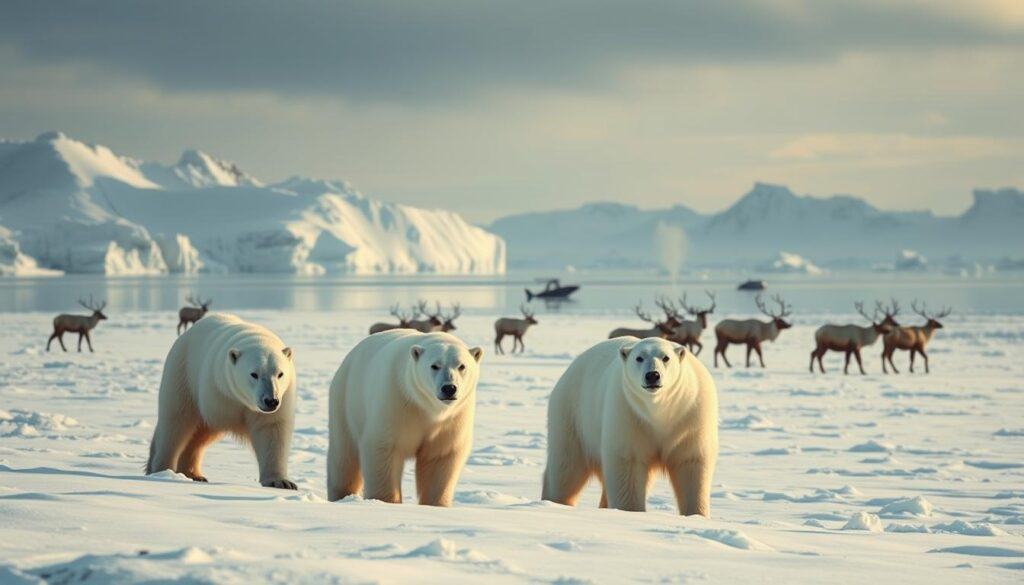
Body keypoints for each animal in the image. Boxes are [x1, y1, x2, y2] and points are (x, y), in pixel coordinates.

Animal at [145, 313, 298, 489]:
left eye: (280, 374)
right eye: (254, 374)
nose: (271, 400)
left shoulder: (282, 398)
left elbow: (271, 429)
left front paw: (281, 482)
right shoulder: (217, 393)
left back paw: (193, 474)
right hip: (182, 373)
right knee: (175, 423)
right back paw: (162, 471)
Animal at [327, 330, 483, 505]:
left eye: (461, 366)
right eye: (434, 365)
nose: (449, 388)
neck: (428, 408)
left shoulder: (453, 419)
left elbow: (440, 456)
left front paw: (435, 504)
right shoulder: (397, 403)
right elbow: (384, 448)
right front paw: (386, 501)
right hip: (346, 403)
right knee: (344, 457)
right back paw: (341, 496)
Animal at [541, 336, 719, 516]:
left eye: (666, 357)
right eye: (639, 358)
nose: (652, 375)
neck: (659, 411)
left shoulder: (689, 419)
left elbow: (690, 462)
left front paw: (696, 514)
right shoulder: (628, 414)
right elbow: (628, 464)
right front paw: (630, 511)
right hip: (572, 416)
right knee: (566, 468)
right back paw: (554, 502)